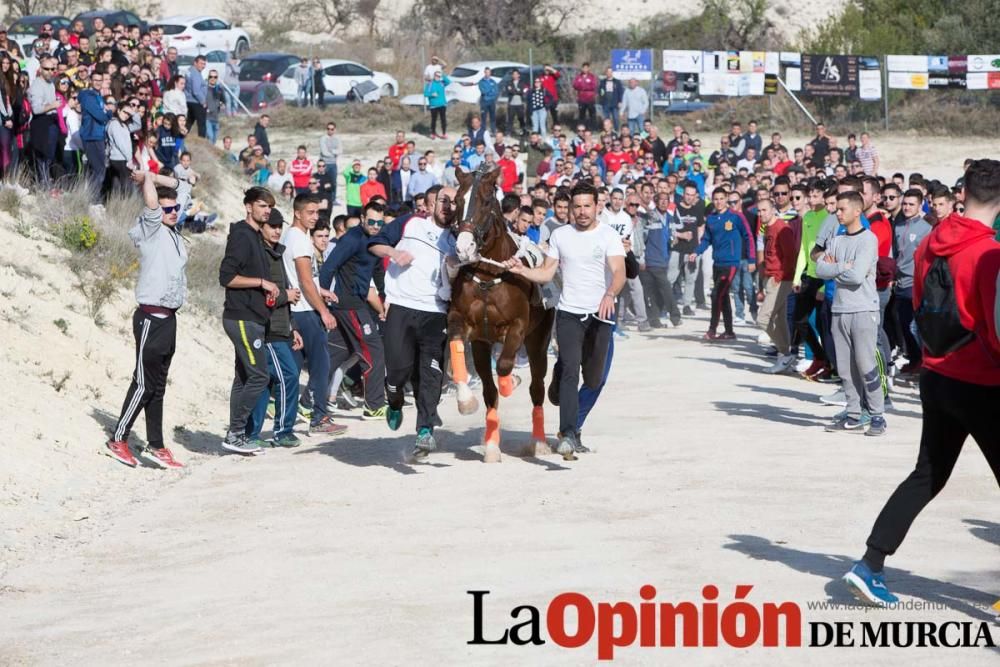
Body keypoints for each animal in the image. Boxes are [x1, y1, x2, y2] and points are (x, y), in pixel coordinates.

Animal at [452, 166, 560, 464]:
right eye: (456, 200)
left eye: (485, 201)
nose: (463, 247)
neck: (489, 276)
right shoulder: (469, 328)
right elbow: (461, 354)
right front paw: (467, 404)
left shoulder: (519, 326)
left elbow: (504, 365)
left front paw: (510, 380)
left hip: (539, 337)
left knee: (537, 387)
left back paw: (539, 442)